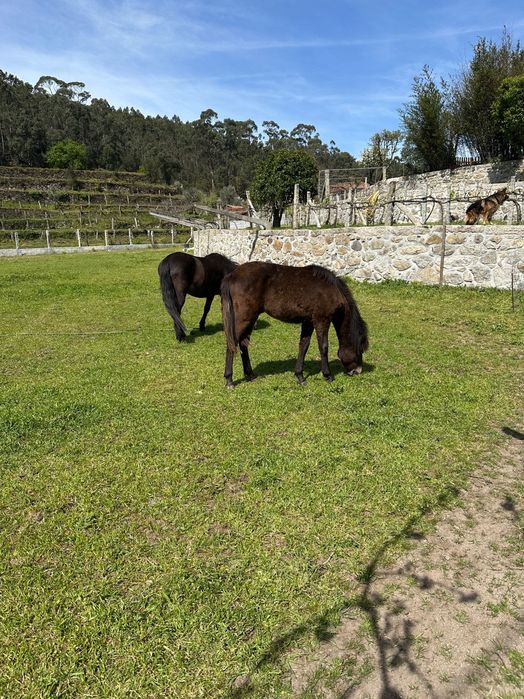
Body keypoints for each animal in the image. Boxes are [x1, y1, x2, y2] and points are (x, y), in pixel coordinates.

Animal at [221, 261, 369, 388]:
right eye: (360, 350)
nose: (358, 371)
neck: (332, 290)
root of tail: (232, 275)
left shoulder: (308, 321)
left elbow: (304, 345)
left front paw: (300, 376)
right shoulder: (322, 320)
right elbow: (323, 347)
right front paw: (328, 375)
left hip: (251, 319)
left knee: (243, 344)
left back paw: (250, 375)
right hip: (244, 318)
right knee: (232, 343)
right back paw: (229, 380)